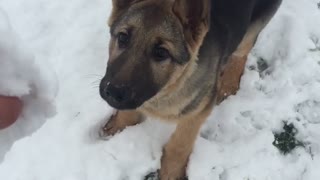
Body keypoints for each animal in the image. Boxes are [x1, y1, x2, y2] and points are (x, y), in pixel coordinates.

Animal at [100, 0, 282, 179]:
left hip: (253, 27)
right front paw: (118, 126)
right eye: (123, 37)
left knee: (242, 53)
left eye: (161, 52)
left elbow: (180, 144)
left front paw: (171, 172)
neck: (169, 88)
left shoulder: (198, 112)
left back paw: (228, 85)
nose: (113, 92)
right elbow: (128, 112)